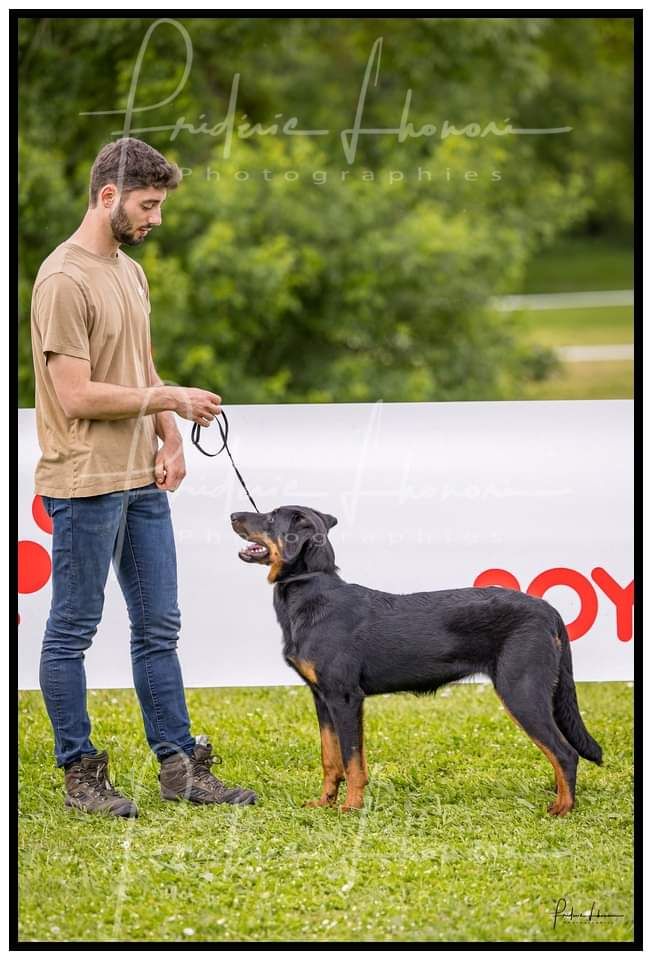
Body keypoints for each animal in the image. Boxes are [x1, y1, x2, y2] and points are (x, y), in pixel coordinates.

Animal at [232, 506, 604, 812]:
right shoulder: (322, 699)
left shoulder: (345, 698)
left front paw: (351, 807)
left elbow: (353, 762)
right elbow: (330, 759)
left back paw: (563, 809)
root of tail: (549, 610)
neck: (311, 590)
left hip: (521, 691)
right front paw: (324, 802)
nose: (233, 515)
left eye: (269, 517)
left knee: (565, 753)